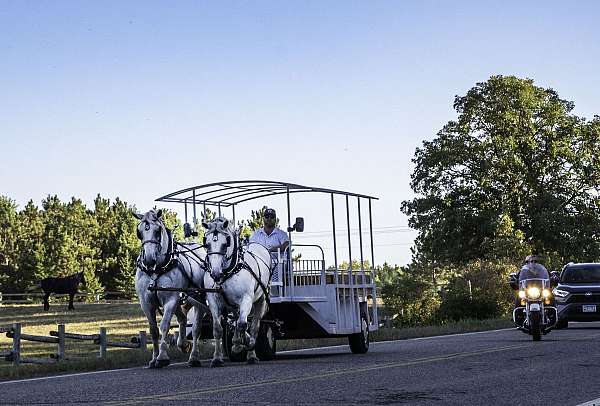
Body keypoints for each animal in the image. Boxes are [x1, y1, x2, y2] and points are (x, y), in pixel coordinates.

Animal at [132, 209, 207, 368]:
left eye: (157, 231)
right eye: (139, 232)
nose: (149, 260)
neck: (156, 269)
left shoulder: (170, 299)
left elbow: (164, 326)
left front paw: (162, 357)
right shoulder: (146, 303)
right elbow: (153, 330)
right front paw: (154, 358)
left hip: (199, 299)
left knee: (196, 328)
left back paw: (194, 357)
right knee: (183, 318)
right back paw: (183, 344)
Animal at [202, 217, 272, 366]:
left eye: (225, 244)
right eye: (207, 244)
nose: (215, 274)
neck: (228, 272)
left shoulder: (246, 299)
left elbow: (242, 324)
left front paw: (243, 344)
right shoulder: (212, 300)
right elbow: (218, 329)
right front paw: (217, 358)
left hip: (261, 300)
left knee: (253, 326)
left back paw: (251, 354)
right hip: (232, 304)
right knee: (235, 319)